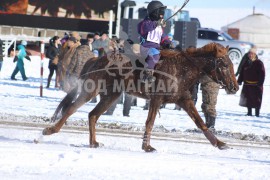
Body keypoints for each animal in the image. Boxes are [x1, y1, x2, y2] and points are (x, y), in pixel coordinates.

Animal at [41, 43, 238, 151]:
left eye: (230, 63)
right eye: (224, 64)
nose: (235, 87)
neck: (182, 69)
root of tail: (95, 59)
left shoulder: (184, 100)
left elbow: (200, 122)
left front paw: (220, 143)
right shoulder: (156, 100)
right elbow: (150, 122)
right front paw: (147, 147)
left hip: (111, 95)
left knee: (93, 115)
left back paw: (93, 142)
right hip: (91, 90)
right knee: (71, 108)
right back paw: (50, 130)